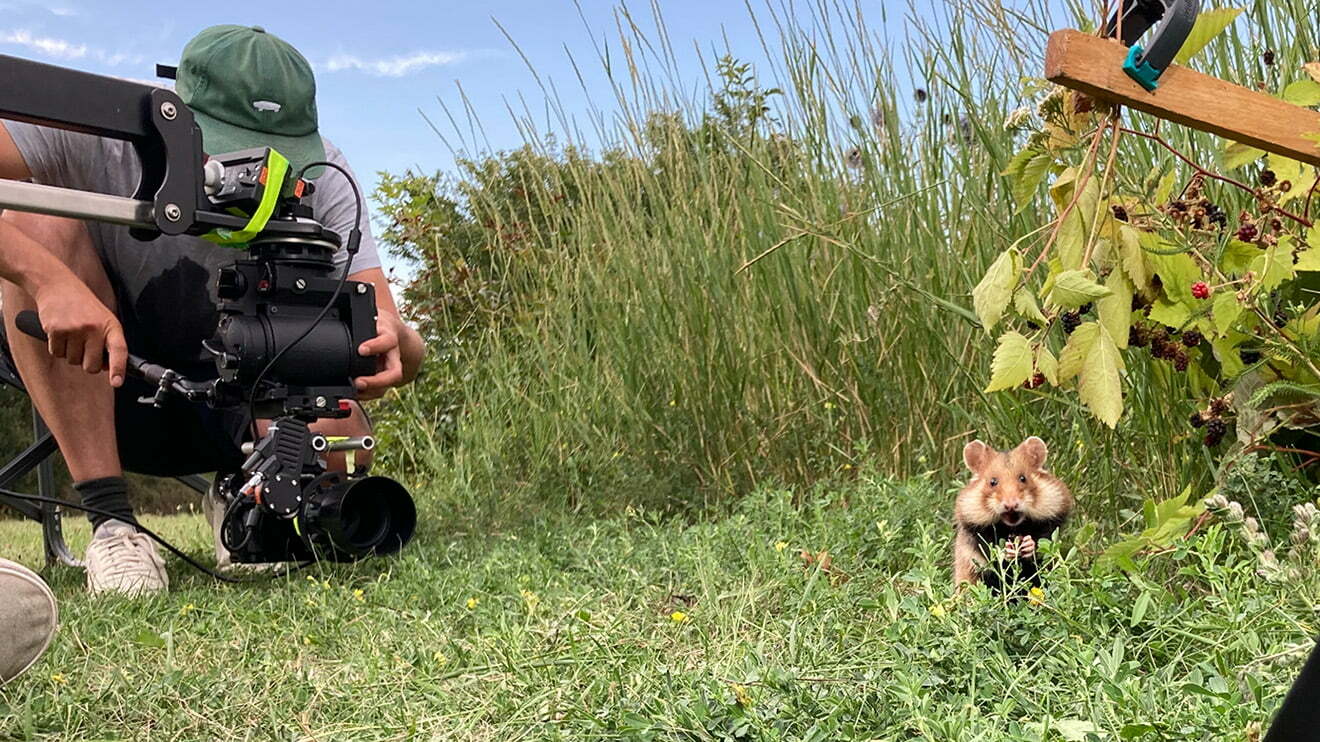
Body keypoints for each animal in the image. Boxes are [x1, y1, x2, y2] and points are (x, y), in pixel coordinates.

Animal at [953, 436, 1073, 592]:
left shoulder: (1049, 525)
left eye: (1023, 478)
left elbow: (1041, 541)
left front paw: (1027, 544)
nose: (1011, 505)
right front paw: (1008, 550)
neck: (1013, 527)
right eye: (993, 482)